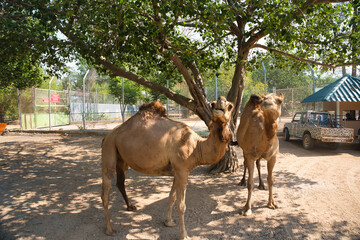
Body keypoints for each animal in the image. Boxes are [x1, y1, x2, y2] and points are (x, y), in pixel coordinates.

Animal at [100, 96, 233, 239]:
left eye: (230, 106)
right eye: (212, 104)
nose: (219, 101)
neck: (197, 147)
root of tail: (108, 135)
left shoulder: (177, 171)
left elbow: (171, 197)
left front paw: (168, 221)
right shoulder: (182, 170)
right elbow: (181, 205)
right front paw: (184, 235)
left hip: (121, 158)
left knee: (120, 182)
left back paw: (131, 207)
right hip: (109, 147)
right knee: (106, 190)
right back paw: (110, 229)